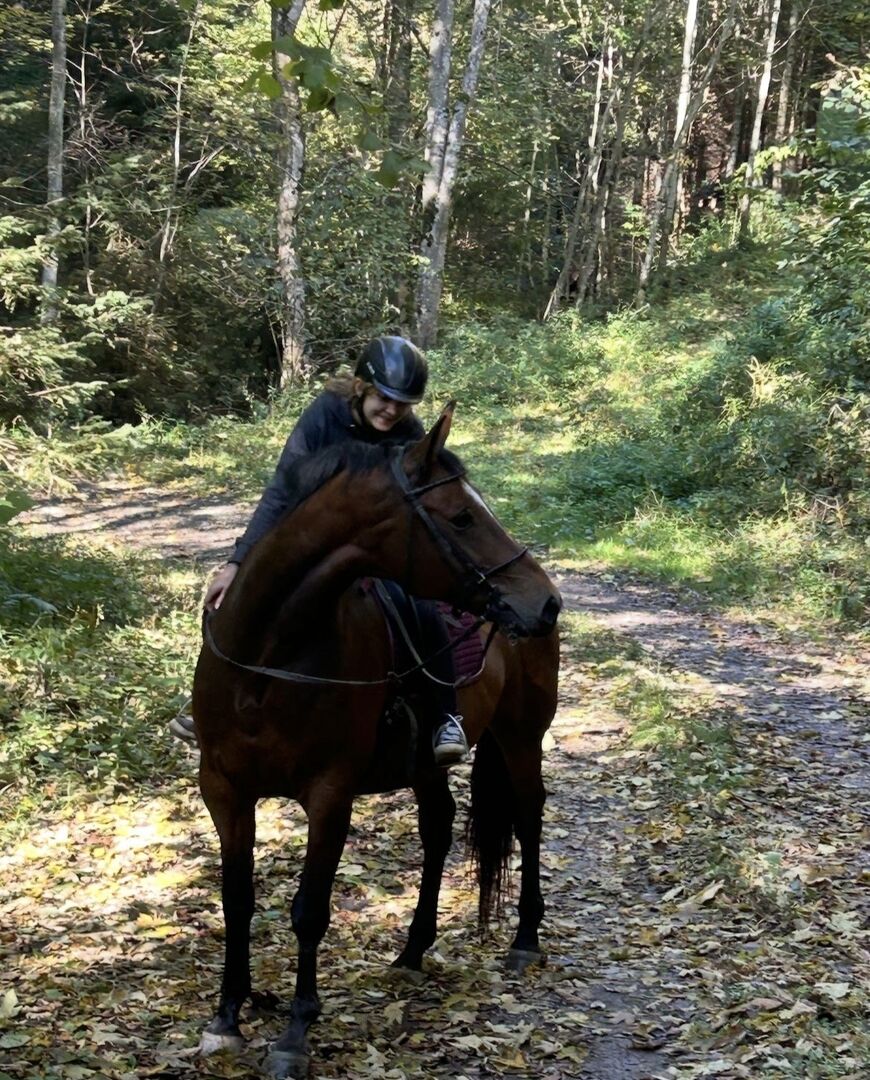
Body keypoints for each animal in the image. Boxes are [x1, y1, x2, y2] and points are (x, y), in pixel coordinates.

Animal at [192, 403, 561, 1079]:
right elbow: (236, 900)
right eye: (461, 516)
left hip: (521, 737)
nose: (545, 603)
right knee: (439, 828)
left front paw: (294, 1033)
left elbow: (310, 911)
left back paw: (525, 939)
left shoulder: (329, 794)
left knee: (528, 817)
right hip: (427, 766)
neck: (269, 658)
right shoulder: (225, 790)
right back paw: (413, 950)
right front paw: (227, 1017)